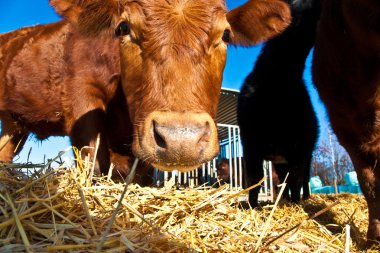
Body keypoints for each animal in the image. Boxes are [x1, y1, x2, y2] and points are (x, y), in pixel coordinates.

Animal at [0, 0, 290, 178]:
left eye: (226, 34)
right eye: (124, 27)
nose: (181, 140)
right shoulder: (82, 97)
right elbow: (94, 164)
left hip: (14, 126)